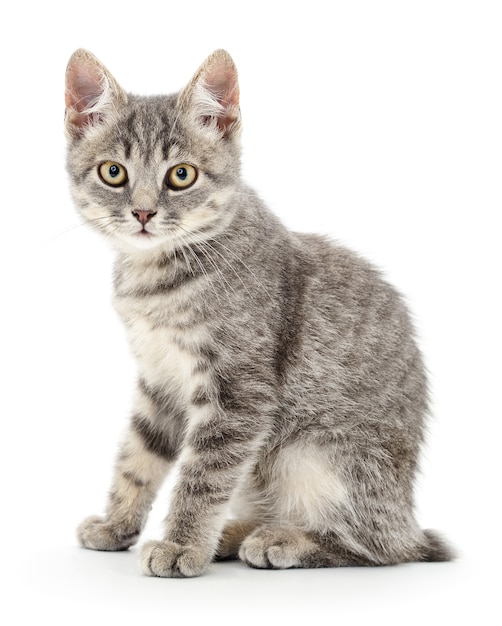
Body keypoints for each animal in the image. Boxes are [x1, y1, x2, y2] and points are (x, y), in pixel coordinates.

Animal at [64, 48, 452, 576]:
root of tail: (407, 518)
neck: (158, 273)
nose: (143, 213)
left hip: (319, 456)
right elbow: (138, 455)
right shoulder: (158, 379)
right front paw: (117, 524)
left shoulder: (238, 392)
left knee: (378, 547)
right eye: (113, 172)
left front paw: (182, 545)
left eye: (181, 175)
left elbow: (204, 475)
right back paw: (237, 533)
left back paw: (283, 540)